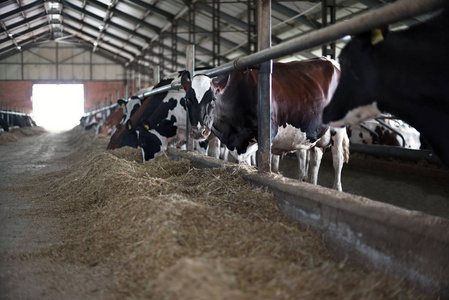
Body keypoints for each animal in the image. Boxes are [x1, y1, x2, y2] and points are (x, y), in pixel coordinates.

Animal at [180, 57, 348, 191]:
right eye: (187, 100)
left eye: (213, 99)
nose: (199, 132)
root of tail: (329, 60)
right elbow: (244, 164)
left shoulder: (266, 134)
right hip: (316, 133)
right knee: (315, 160)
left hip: (338, 129)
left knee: (337, 160)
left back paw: (337, 189)